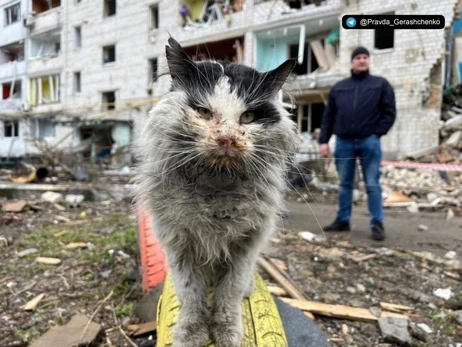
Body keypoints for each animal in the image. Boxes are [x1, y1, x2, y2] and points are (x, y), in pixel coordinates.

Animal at [134, 36, 300, 346]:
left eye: (248, 117)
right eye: (203, 112)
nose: (227, 139)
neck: (216, 192)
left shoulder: (245, 247)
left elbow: (229, 295)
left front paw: (227, 332)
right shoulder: (180, 247)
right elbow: (191, 297)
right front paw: (190, 333)